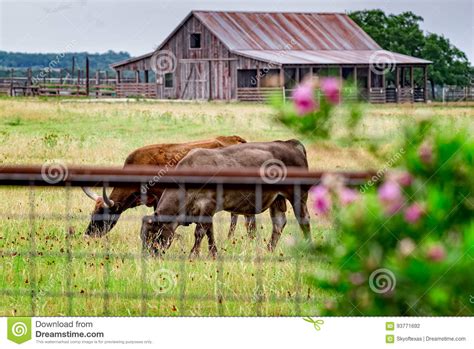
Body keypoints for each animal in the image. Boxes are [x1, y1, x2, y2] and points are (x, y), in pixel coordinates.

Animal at [141, 139, 312, 258]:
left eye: (152, 235)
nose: (147, 256)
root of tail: (289, 143)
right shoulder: (206, 212)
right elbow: (210, 233)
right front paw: (213, 254)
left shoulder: (207, 206)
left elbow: (199, 232)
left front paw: (193, 255)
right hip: (277, 199)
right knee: (278, 223)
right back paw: (268, 250)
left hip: (298, 196)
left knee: (304, 220)